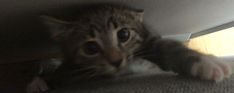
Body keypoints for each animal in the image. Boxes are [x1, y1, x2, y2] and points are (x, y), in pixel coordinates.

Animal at [27, 3, 232, 93]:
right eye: (91, 47)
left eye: (124, 35)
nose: (116, 61)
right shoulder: (73, 66)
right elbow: (62, 72)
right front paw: (39, 82)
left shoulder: (149, 40)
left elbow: (166, 47)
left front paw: (206, 62)